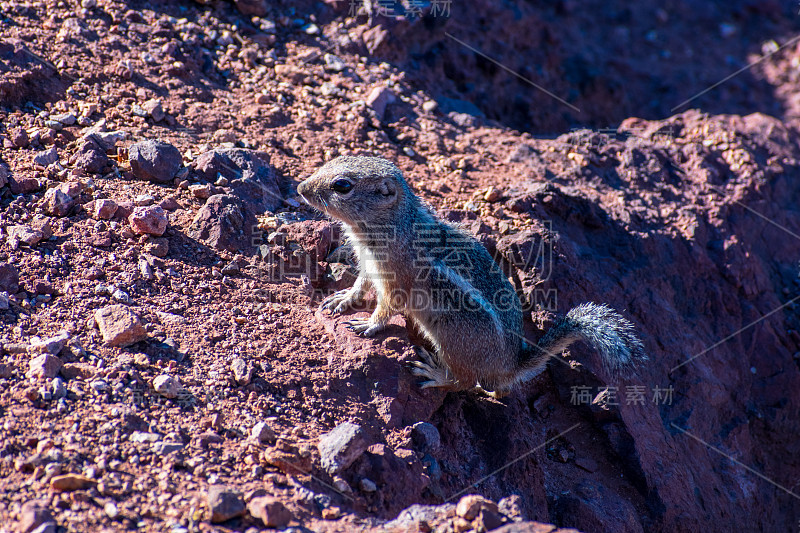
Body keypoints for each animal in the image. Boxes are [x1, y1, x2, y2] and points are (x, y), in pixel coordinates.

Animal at [296, 154, 648, 394]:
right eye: (331, 160)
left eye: (343, 185)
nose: (300, 187)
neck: (390, 225)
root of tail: (509, 366)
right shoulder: (370, 265)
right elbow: (360, 284)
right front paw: (342, 299)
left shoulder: (397, 280)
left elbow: (386, 308)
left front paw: (368, 324)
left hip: (452, 339)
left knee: (466, 382)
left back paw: (436, 376)